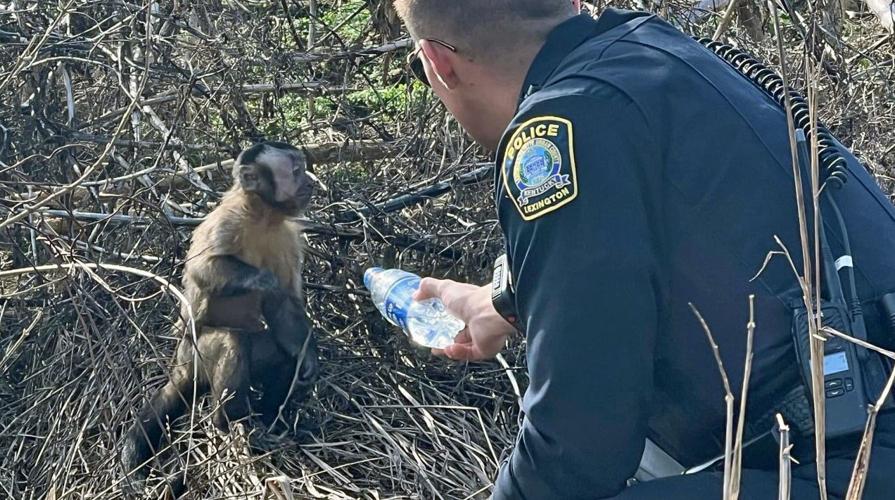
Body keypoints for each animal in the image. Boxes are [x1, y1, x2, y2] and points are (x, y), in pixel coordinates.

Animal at [120, 141, 319, 488]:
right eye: (295, 171)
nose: (309, 181)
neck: (262, 217)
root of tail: (180, 365)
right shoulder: (227, 220)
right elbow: (203, 269)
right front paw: (262, 279)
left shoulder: (288, 237)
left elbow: (284, 307)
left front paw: (307, 357)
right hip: (196, 355)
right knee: (230, 342)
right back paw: (227, 421)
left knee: (279, 356)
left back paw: (269, 422)